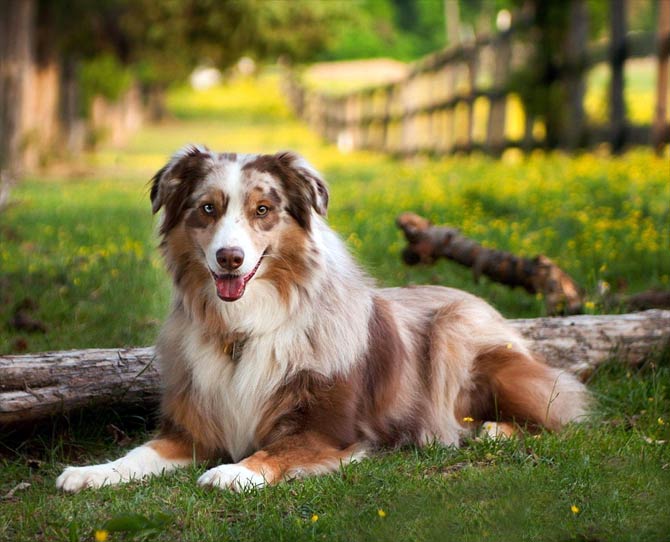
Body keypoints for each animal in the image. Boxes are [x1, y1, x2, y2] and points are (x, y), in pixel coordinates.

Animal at [57, 147, 588, 496]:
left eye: (263, 210)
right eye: (207, 208)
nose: (229, 258)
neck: (243, 329)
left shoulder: (329, 432)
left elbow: (275, 451)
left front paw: (235, 472)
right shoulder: (195, 430)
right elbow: (138, 453)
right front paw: (92, 472)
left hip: (458, 337)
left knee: (563, 414)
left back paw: (493, 430)